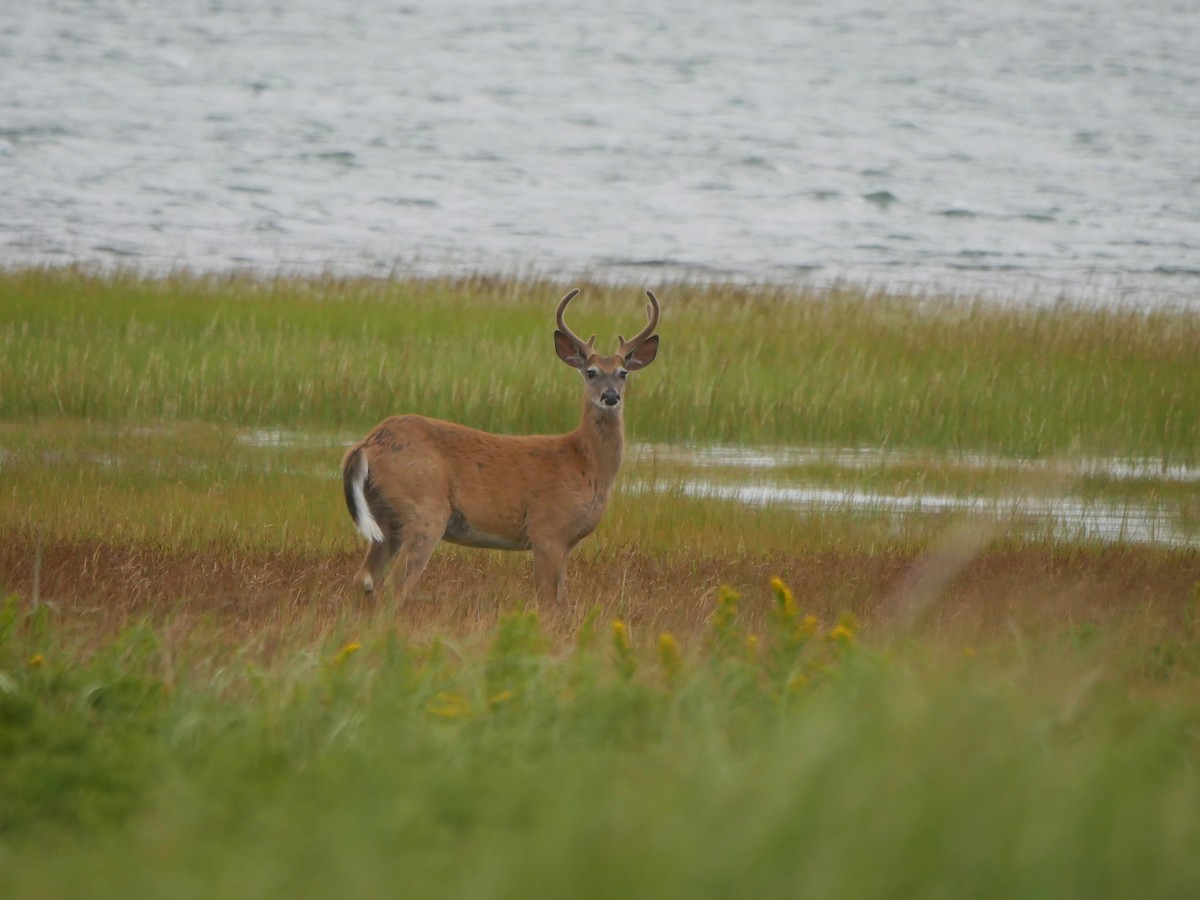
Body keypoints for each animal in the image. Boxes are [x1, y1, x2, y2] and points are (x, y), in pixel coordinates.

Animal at [340, 288, 661, 606]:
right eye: (591, 372)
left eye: (623, 373)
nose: (610, 396)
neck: (586, 463)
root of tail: (367, 443)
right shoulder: (547, 530)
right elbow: (548, 601)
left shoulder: (567, 541)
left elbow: (563, 601)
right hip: (424, 509)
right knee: (395, 585)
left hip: (387, 519)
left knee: (364, 578)